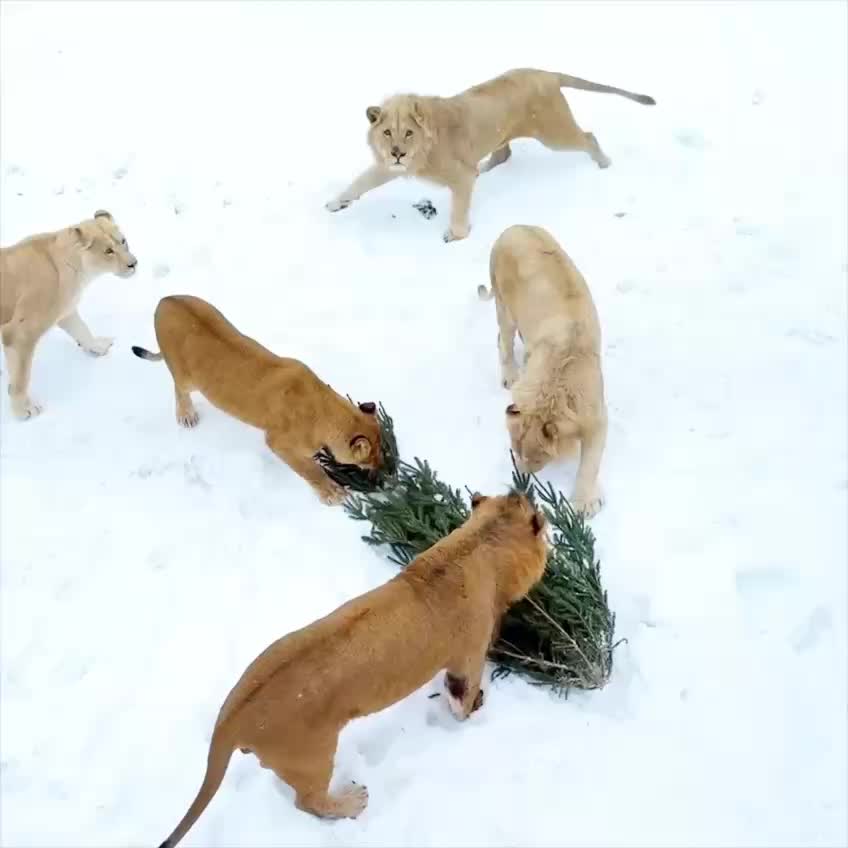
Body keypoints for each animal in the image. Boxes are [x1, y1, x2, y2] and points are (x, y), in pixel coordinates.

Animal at [0, 210, 137, 420]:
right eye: (108, 251)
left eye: (123, 241)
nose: (133, 264)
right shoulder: (19, 333)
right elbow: (21, 376)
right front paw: (23, 410)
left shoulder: (66, 311)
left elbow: (82, 330)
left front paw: (98, 347)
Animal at [132, 294, 384, 504]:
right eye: (370, 458)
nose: (385, 471)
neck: (327, 407)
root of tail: (165, 300)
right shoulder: (278, 443)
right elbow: (310, 470)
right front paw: (332, 493)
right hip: (185, 377)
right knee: (179, 388)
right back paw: (186, 415)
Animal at [155, 490, 548, 848]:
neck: (478, 544)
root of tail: (230, 718)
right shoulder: (469, 656)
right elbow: (462, 696)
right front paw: (472, 709)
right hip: (313, 758)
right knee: (307, 801)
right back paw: (352, 803)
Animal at [324, 67, 656, 242]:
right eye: (387, 133)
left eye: (408, 132)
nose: (397, 154)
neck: (420, 151)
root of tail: (547, 73)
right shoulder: (387, 166)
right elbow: (360, 182)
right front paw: (335, 204)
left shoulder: (458, 177)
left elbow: (459, 207)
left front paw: (454, 236)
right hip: (504, 135)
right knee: (503, 154)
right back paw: (483, 168)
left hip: (554, 134)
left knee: (588, 137)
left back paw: (604, 163)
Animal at [480, 225, 608, 516]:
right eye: (514, 450)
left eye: (538, 457)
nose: (522, 476)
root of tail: (511, 228)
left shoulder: (596, 417)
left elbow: (590, 463)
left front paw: (584, 505)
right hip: (504, 306)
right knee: (503, 338)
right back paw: (509, 375)